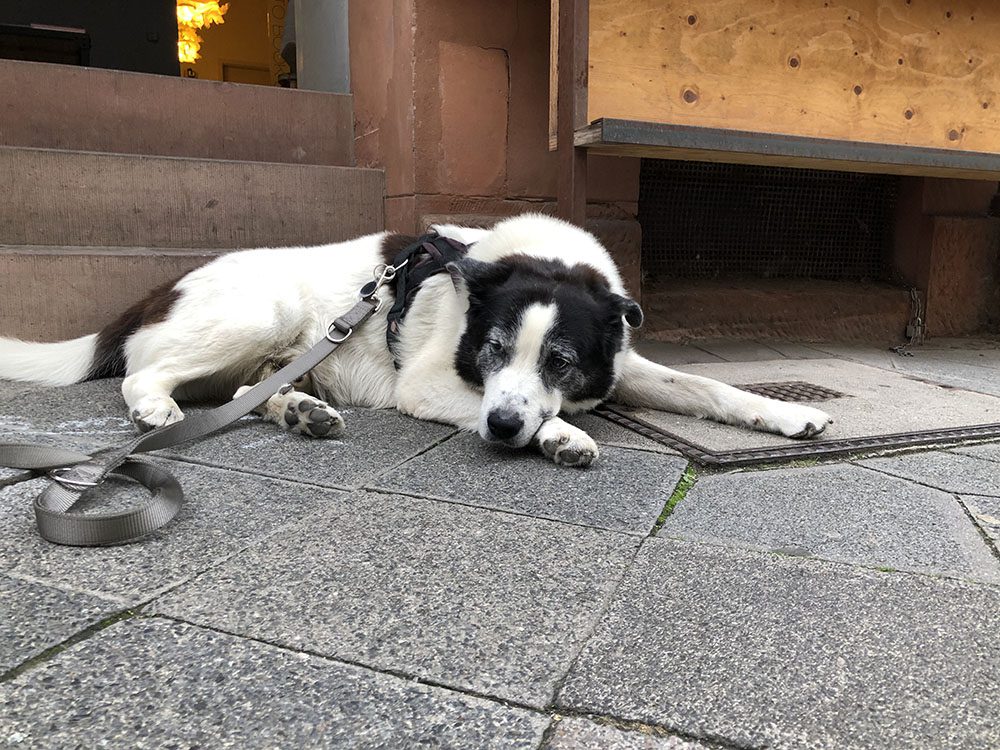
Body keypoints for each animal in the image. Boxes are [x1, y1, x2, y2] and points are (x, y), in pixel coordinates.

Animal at [0, 214, 828, 468]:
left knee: (243, 391)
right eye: (490, 350)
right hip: (260, 310)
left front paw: (788, 414)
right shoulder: (430, 383)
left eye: (561, 360)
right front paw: (559, 434)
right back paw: (156, 411)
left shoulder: (617, 357)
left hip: (274, 356)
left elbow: (706, 386)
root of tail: (156, 291)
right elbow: (510, 411)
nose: (507, 426)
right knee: (142, 375)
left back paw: (299, 412)